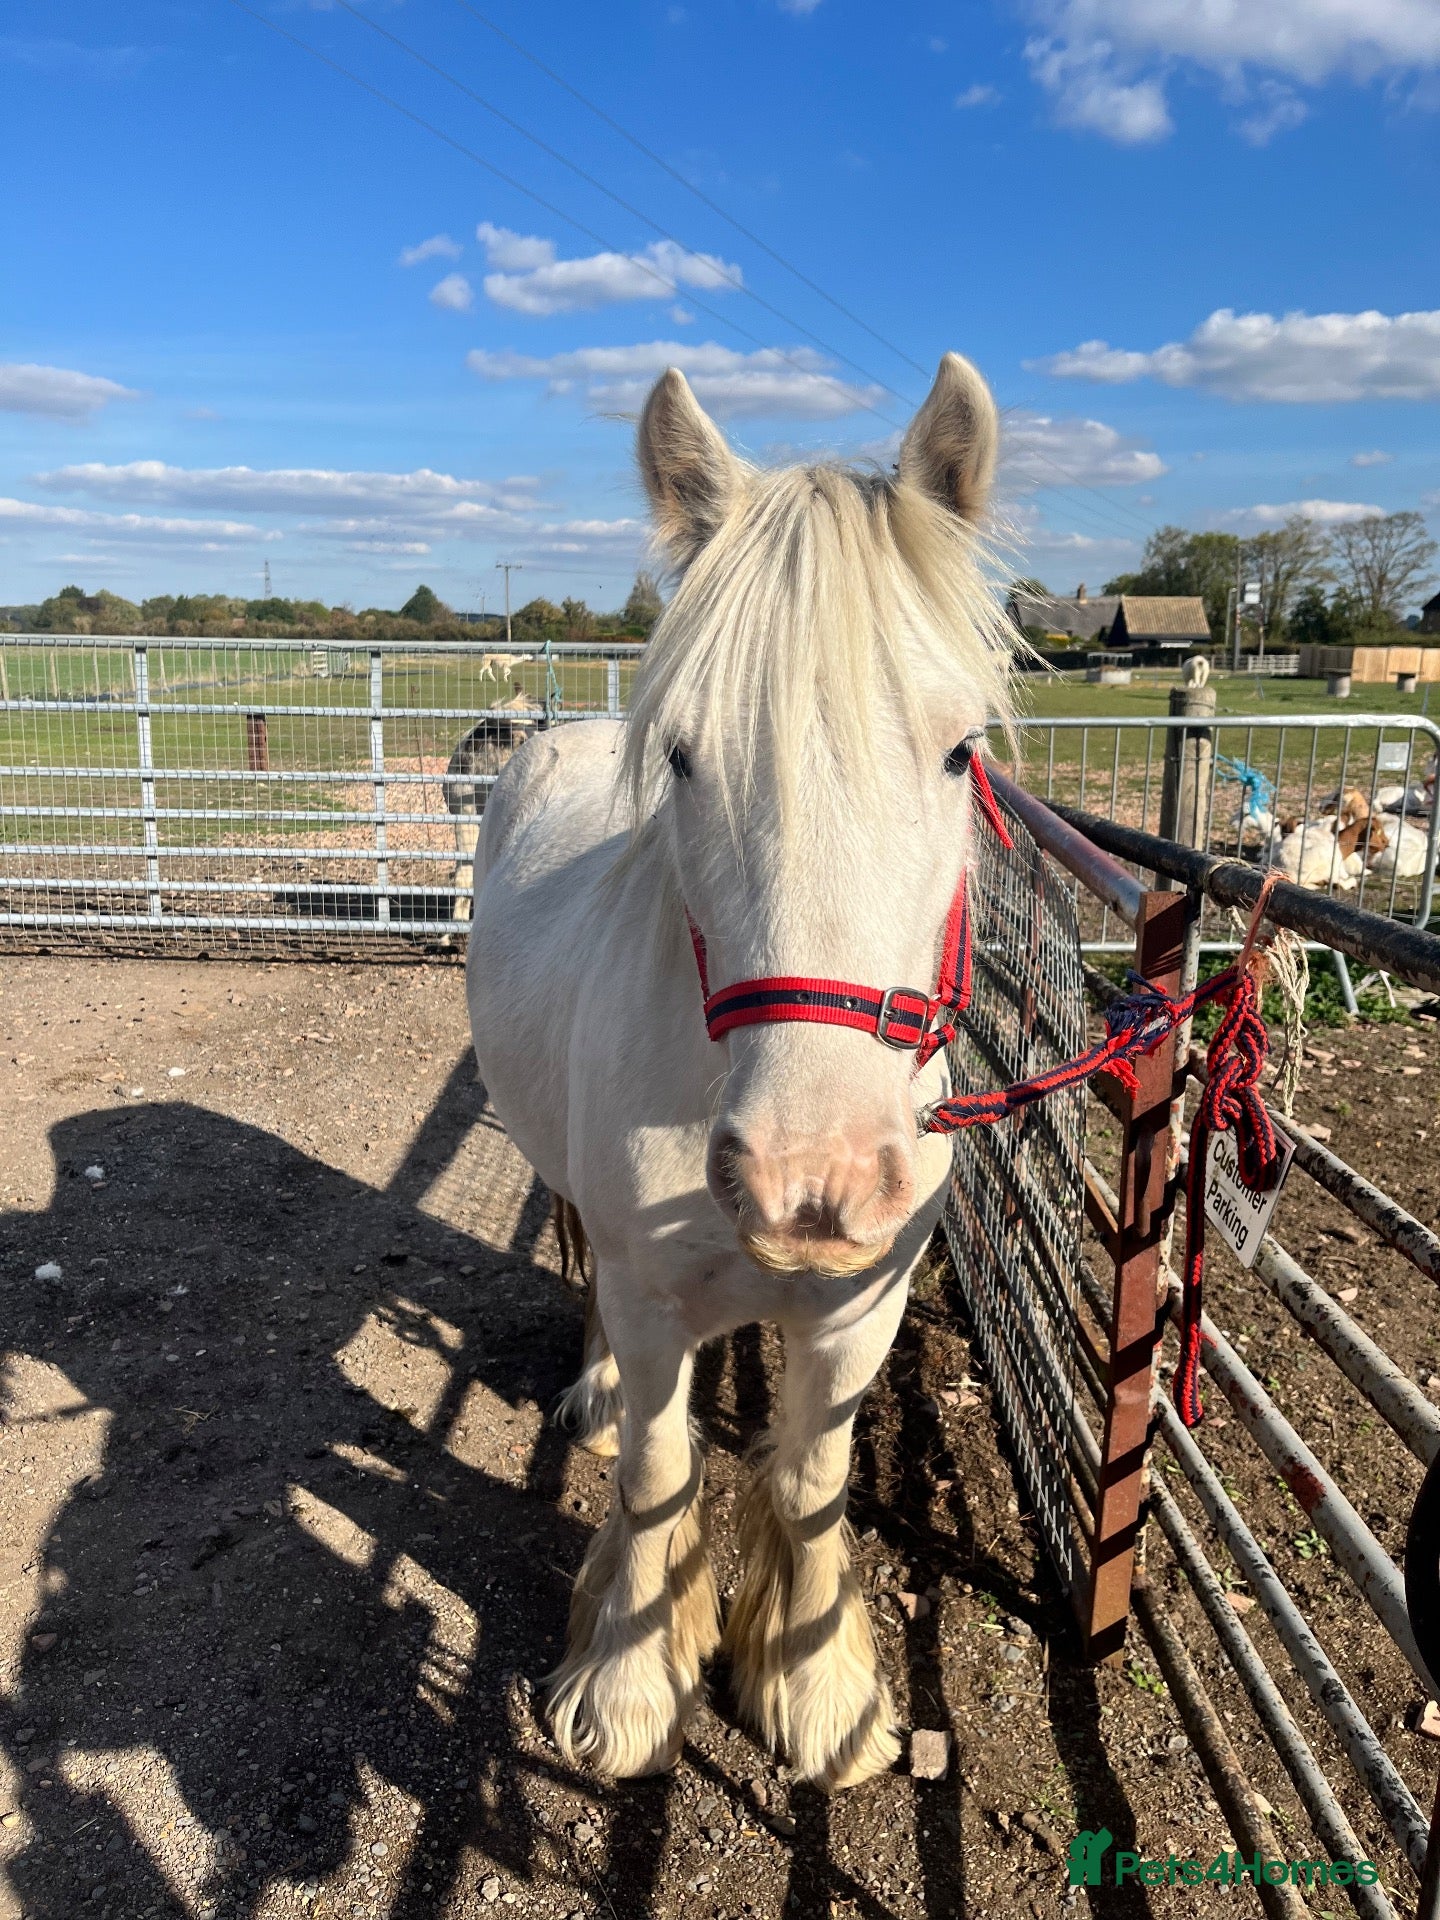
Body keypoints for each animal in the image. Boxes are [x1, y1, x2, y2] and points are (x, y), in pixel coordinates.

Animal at [466, 353, 1015, 1789]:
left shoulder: (861, 1309)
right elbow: (658, 1475)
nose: (809, 1182)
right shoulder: (657, 1298)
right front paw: (625, 1680)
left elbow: (812, 1486)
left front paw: (814, 1690)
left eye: (961, 750)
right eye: (684, 755)